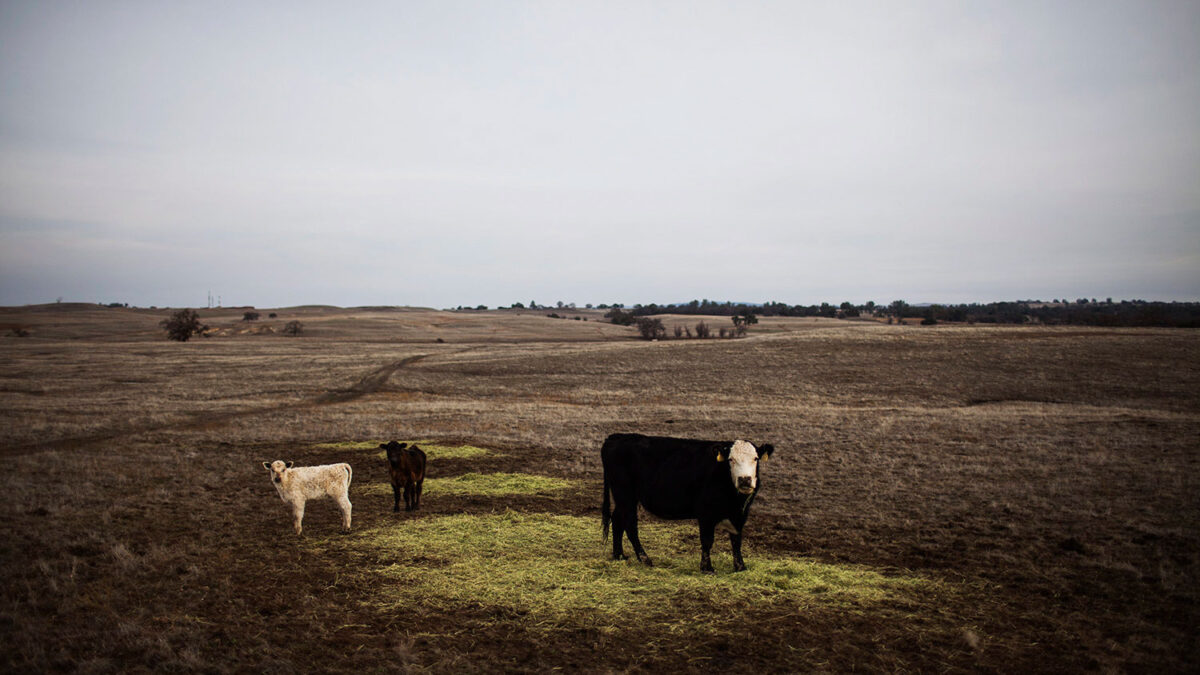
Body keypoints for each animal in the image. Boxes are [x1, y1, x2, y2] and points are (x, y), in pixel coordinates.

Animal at [600, 429, 777, 571]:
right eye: (730, 460)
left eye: (755, 459)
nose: (745, 479)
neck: (734, 500)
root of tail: (616, 437)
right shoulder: (705, 513)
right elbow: (707, 540)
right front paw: (707, 568)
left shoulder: (740, 514)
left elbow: (736, 540)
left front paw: (740, 566)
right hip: (625, 494)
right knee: (630, 525)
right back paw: (644, 559)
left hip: (624, 497)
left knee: (617, 520)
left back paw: (619, 555)